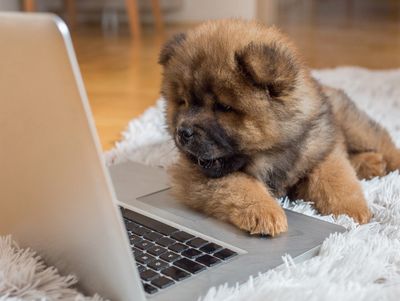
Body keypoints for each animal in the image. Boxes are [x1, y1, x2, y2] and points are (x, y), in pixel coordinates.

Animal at [158, 18, 398, 236]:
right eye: (183, 102)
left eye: (224, 107)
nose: (183, 132)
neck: (270, 154)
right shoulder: (195, 173)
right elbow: (239, 184)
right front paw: (265, 212)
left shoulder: (321, 144)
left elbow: (335, 177)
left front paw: (353, 211)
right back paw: (373, 163)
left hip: (353, 125)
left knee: (382, 141)